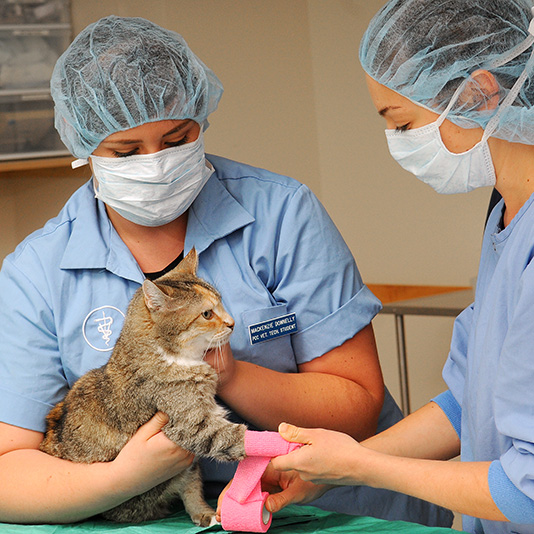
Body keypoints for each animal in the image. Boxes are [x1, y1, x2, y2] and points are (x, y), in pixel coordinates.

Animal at [40, 250, 248, 528]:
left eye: (222, 303)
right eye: (206, 314)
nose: (232, 323)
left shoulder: (190, 463)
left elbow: (192, 488)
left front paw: (204, 512)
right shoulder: (190, 423)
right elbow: (229, 437)